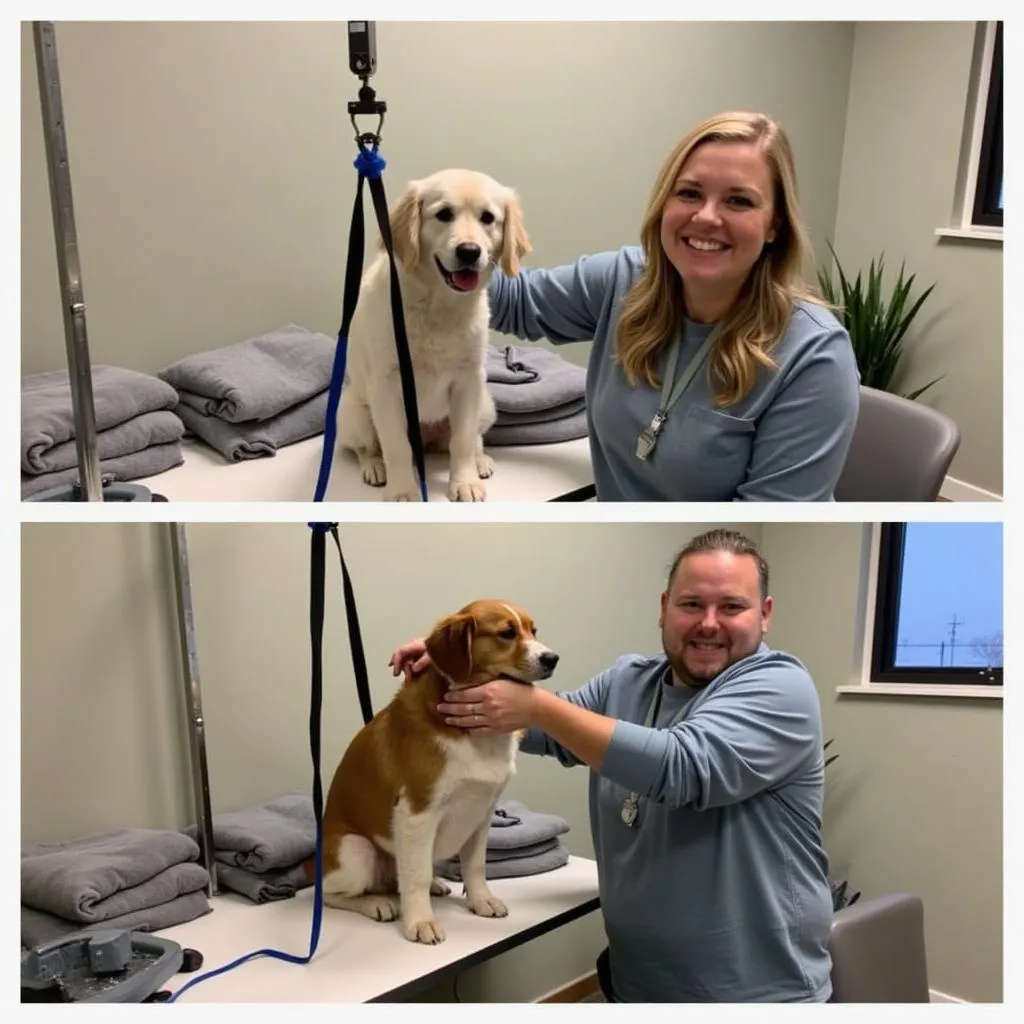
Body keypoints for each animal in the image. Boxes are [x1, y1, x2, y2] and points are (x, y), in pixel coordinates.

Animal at [311, 598, 561, 942]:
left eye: (533, 630)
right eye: (507, 633)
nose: (552, 658)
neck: (477, 735)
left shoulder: (481, 813)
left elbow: (475, 867)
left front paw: (481, 900)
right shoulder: (417, 812)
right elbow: (414, 878)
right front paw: (420, 921)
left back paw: (432, 885)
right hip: (357, 852)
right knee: (334, 894)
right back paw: (376, 903)